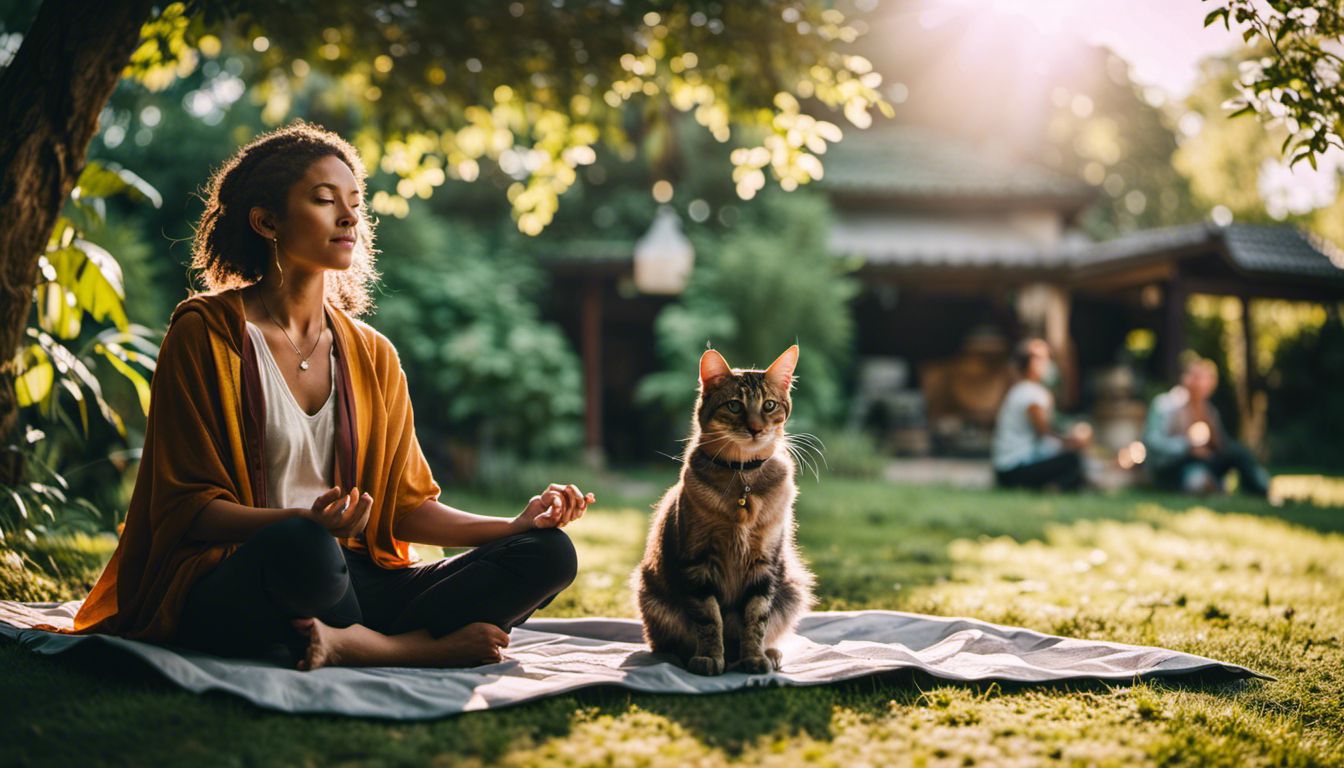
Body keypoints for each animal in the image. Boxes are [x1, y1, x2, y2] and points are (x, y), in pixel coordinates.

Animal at [634, 342, 811, 672]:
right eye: (734, 406)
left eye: (769, 406)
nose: (755, 429)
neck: (743, 479)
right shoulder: (698, 562)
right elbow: (709, 618)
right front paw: (709, 657)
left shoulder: (764, 563)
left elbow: (756, 617)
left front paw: (754, 657)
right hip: (652, 596)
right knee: (663, 643)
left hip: (792, 589)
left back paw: (768, 653)